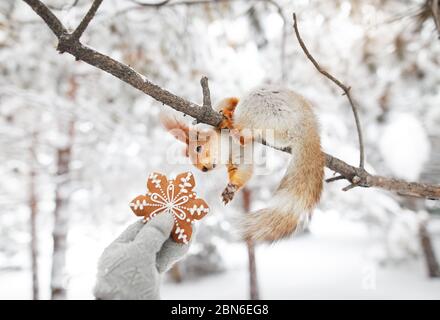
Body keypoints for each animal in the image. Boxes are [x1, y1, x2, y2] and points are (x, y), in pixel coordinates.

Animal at [160, 85, 324, 242]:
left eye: (198, 148)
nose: (204, 169)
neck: (227, 145)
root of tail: (308, 128)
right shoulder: (238, 155)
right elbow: (244, 169)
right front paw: (231, 188)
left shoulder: (229, 105)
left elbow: (229, 102)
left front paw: (226, 112)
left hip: (261, 103)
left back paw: (230, 122)